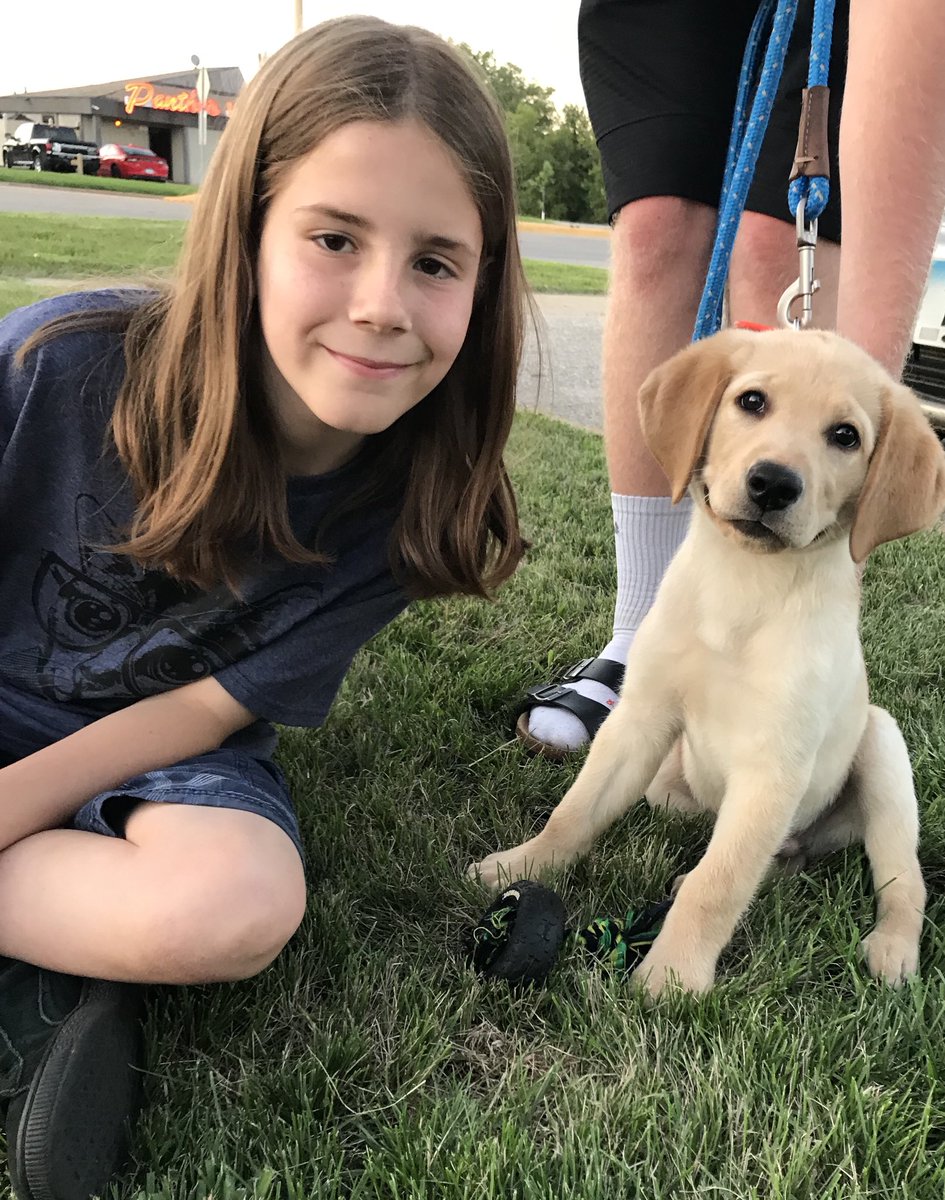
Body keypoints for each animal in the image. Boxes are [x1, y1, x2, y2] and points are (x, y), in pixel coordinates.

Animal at [477, 326, 944, 993]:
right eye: (752, 402)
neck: (744, 584)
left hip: (881, 750)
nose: (773, 483)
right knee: (773, 857)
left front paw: (672, 977)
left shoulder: (772, 771)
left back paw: (894, 948)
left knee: (903, 877)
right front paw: (522, 865)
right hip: (671, 788)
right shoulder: (637, 721)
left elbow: (719, 884)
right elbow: (578, 809)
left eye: (846, 436)